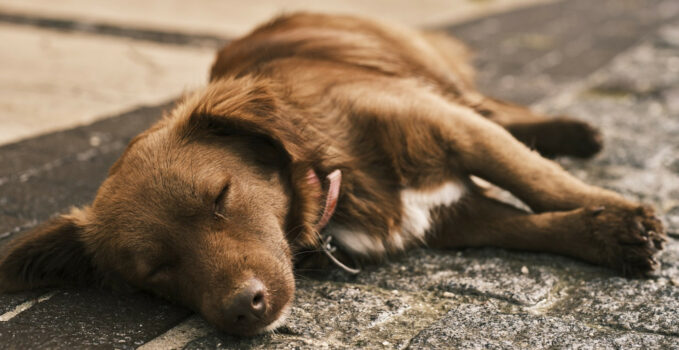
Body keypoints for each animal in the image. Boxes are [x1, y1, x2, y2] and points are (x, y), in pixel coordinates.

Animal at [0, 13, 668, 336]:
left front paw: (620, 215)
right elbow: (528, 225)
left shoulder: (449, 125)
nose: (243, 310)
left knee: (496, 108)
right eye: (154, 272)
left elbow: (536, 181)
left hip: (431, 72)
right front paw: (606, 235)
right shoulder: (454, 215)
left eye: (221, 196)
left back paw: (573, 132)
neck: (331, 171)